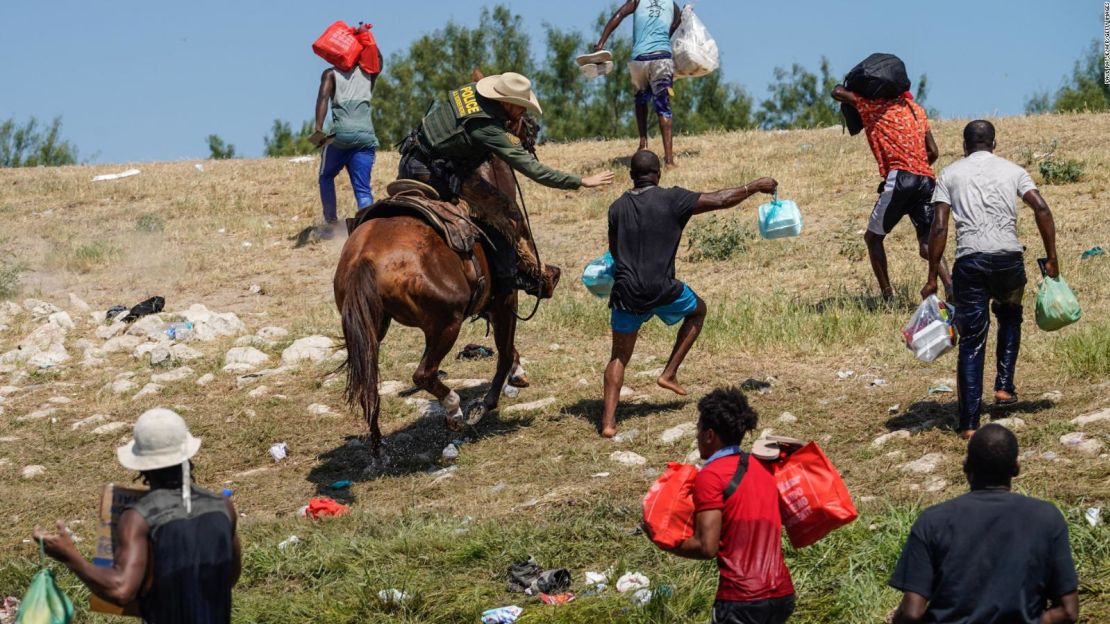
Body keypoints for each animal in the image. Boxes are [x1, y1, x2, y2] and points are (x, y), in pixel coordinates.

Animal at [333, 157, 528, 455]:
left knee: (370, 381)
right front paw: (495, 394)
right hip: (446, 324)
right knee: (424, 374)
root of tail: (365, 258)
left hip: (373, 329)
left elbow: (506, 345)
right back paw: (454, 411)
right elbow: (505, 347)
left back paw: (378, 446)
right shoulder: (505, 299)